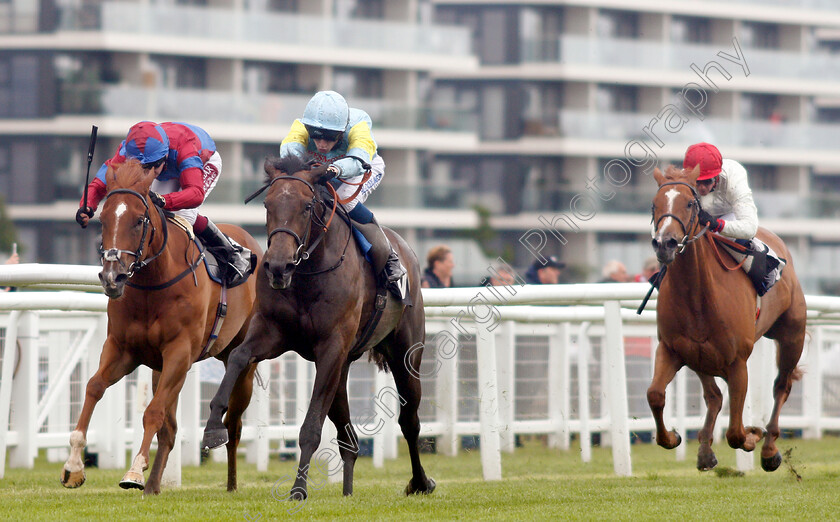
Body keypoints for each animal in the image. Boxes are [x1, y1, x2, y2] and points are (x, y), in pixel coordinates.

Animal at [59, 158, 260, 492]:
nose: (112, 277)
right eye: (102, 220)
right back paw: (154, 485)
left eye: (139, 220)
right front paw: (74, 466)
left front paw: (134, 471)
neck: (153, 284)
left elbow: (152, 412)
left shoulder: (179, 352)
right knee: (172, 428)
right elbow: (93, 387)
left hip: (239, 361)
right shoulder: (122, 349)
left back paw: (231, 483)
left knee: (233, 424)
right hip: (159, 367)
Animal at [201, 156, 436, 498]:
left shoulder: (331, 347)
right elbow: (238, 357)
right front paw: (212, 428)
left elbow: (311, 426)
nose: (278, 266)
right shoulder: (272, 333)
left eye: (307, 205)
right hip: (343, 366)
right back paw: (348, 491)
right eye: (268, 204)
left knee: (410, 421)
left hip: (405, 352)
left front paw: (298, 488)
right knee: (348, 436)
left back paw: (420, 482)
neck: (308, 272)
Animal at [648, 166, 804, 472]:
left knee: (782, 386)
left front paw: (753, 436)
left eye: (689, 203)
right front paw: (672, 437)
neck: (697, 294)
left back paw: (769, 449)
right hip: (700, 357)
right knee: (714, 396)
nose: (665, 243)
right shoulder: (671, 349)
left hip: (793, 336)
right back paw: (705, 451)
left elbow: (735, 432)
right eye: (654, 204)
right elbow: (655, 394)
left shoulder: (737, 362)